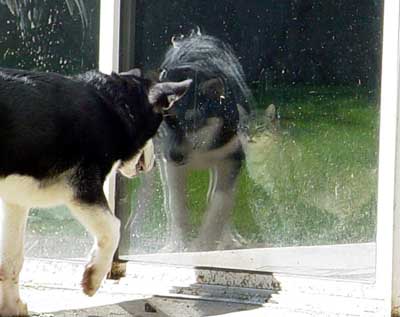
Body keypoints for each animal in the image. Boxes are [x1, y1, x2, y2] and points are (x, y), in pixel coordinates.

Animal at [0, 67, 192, 314]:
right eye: (158, 134)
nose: (153, 165)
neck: (112, 105)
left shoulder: (16, 200)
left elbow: (11, 260)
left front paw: (12, 307)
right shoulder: (82, 190)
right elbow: (113, 228)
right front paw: (93, 276)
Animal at [155, 31, 252, 249]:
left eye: (193, 122)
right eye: (165, 122)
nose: (174, 155)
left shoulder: (231, 156)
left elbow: (220, 203)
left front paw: (204, 244)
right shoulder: (171, 166)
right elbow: (176, 204)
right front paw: (179, 245)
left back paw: (230, 238)